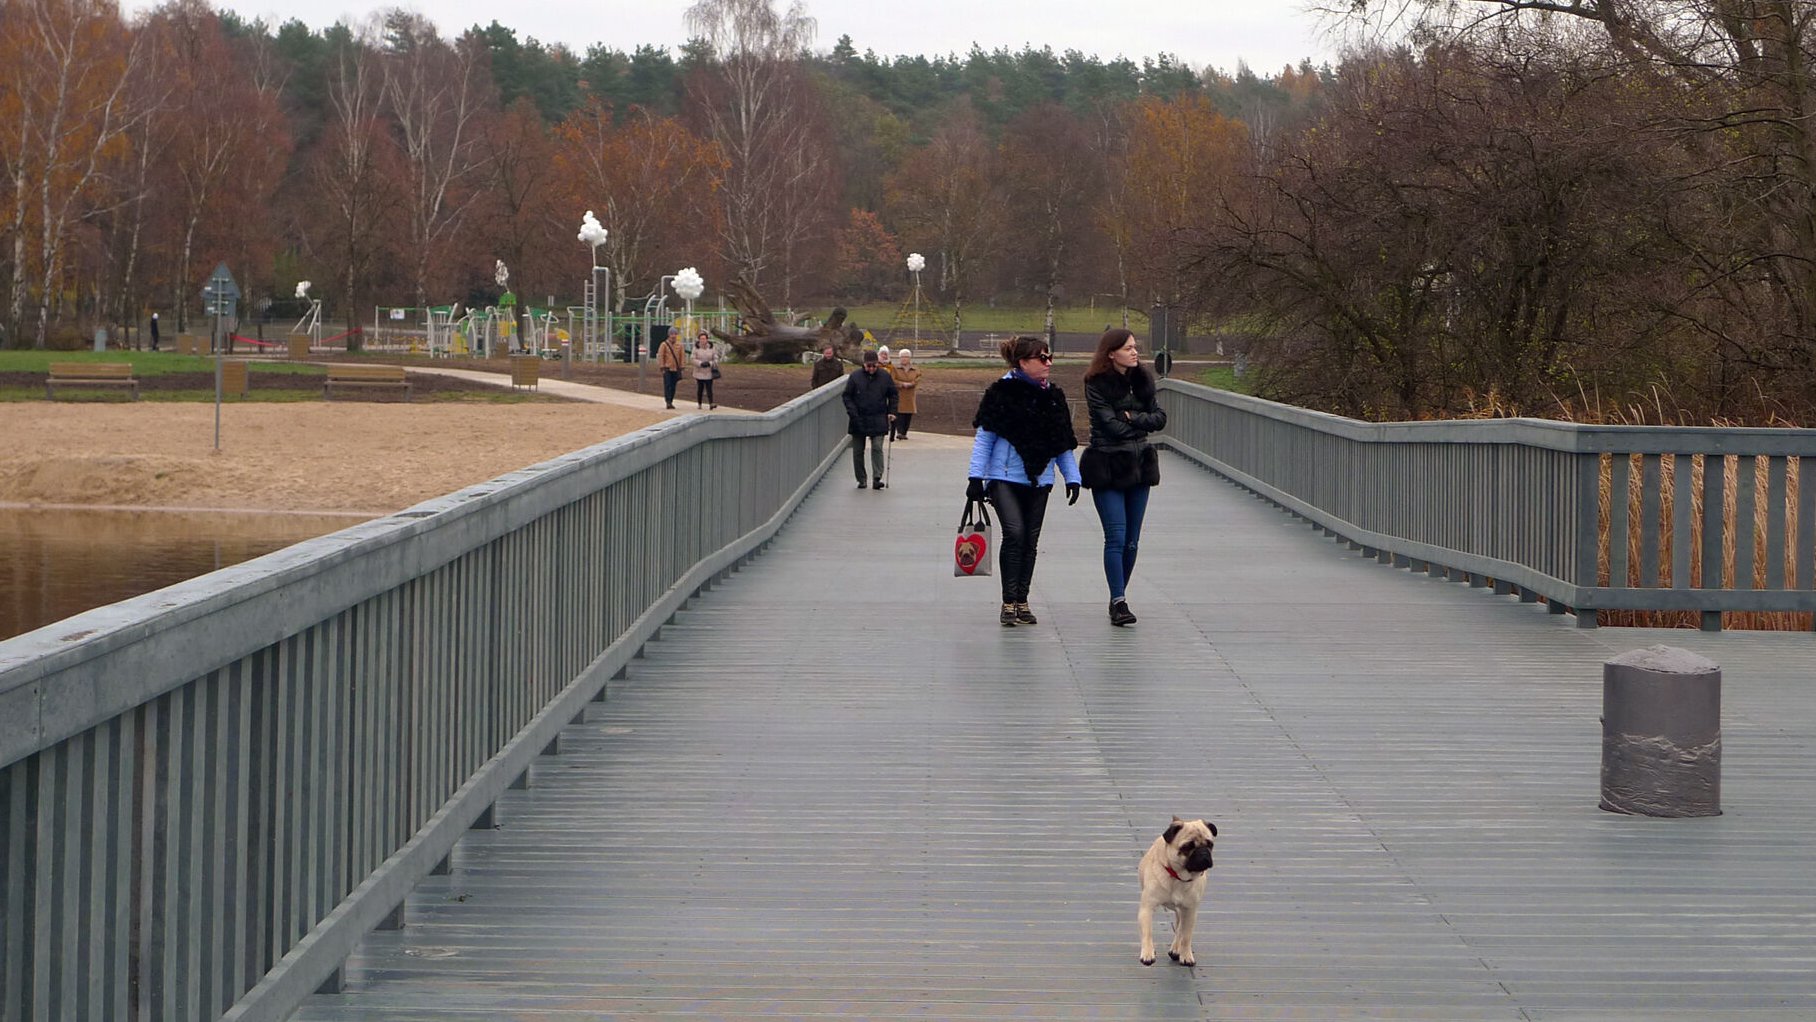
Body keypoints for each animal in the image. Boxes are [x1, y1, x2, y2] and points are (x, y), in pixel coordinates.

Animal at [1133, 816, 1220, 965]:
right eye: (1187, 847)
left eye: (1210, 844)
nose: (1203, 852)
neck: (1179, 877)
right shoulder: (1147, 908)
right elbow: (1147, 932)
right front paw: (1148, 953)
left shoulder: (1190, 911)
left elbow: (1186, 936)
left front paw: (1186, 955)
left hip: (1183, 910)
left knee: (1180, 929)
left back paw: (1175, 949)